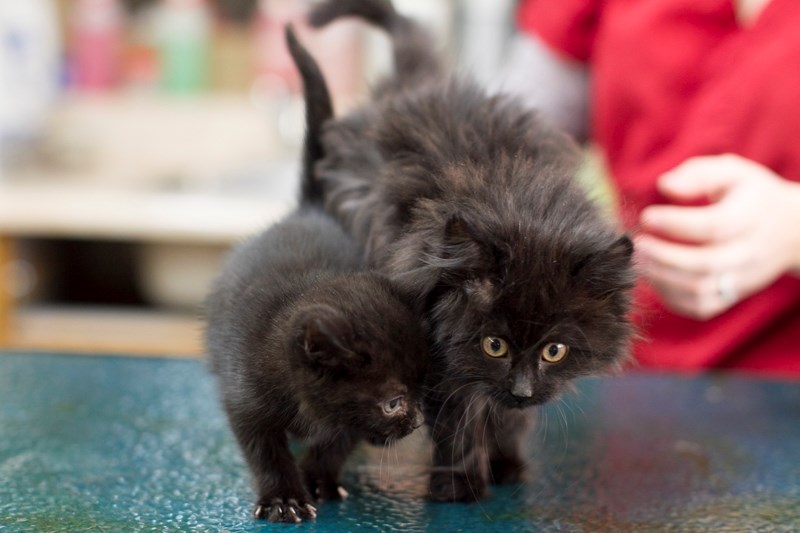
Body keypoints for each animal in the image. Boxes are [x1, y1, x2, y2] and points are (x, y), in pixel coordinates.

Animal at [206, 27, 432, 520]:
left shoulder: (343, 419)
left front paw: (319, 479)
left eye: (424, 386)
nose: (418, 421)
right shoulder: (244, 396)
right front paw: (284, 496)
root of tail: (310, 209)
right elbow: (264, 449)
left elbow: (337, 441)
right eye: (394, 403)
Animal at [308, 0, 636, 500]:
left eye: (554, 351)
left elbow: (506, 417)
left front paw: (505, 462)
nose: (523, 390)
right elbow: (460, 417)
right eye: (494, 345)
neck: (512, 195)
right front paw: (460, 484)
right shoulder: (441, 358)